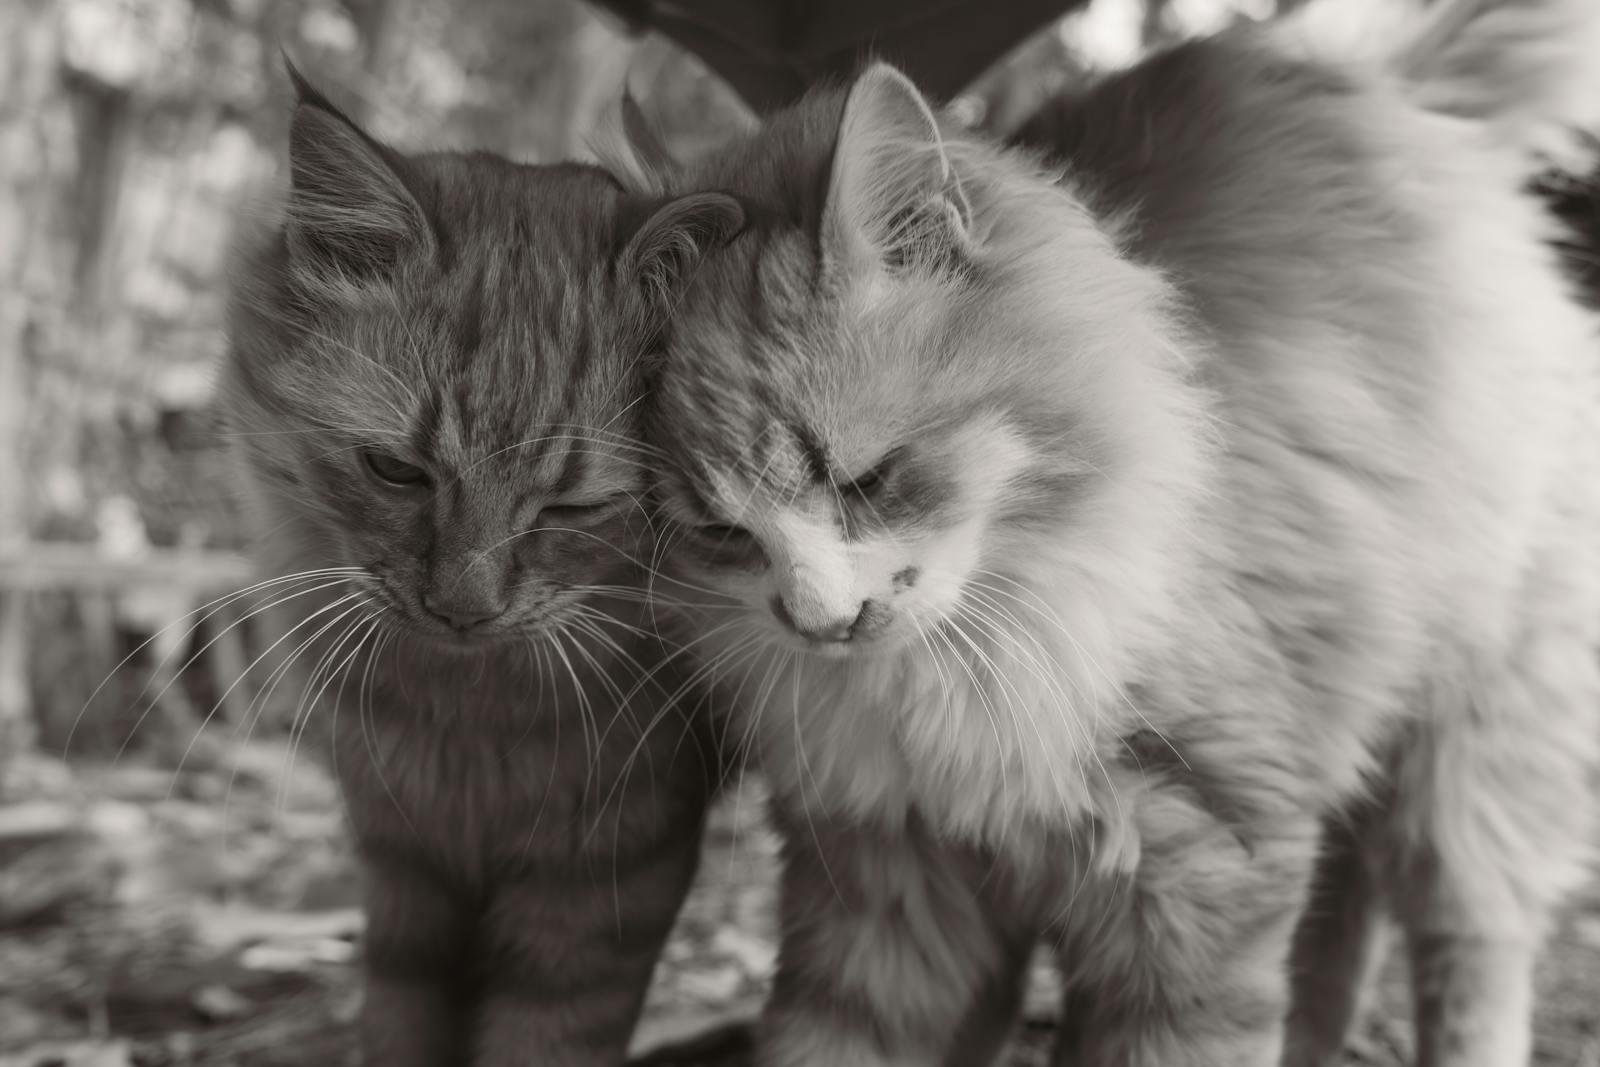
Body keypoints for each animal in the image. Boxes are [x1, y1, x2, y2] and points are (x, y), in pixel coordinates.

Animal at [224, 70, 742, 1062]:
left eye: (573, 508)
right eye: (396, 471)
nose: (464, 605)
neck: (466, 725)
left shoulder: (607, 876)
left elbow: (542, 1033)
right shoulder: (406, 862)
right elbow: (401, 1019)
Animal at [633, 0, 1600, 1062]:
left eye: (865, 479)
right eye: (721, 533)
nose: (820, 623)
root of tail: (1382, 84)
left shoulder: (1204, 864)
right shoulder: (883, 889)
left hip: (1470, 752)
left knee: (1466, 943)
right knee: (1340, 937)